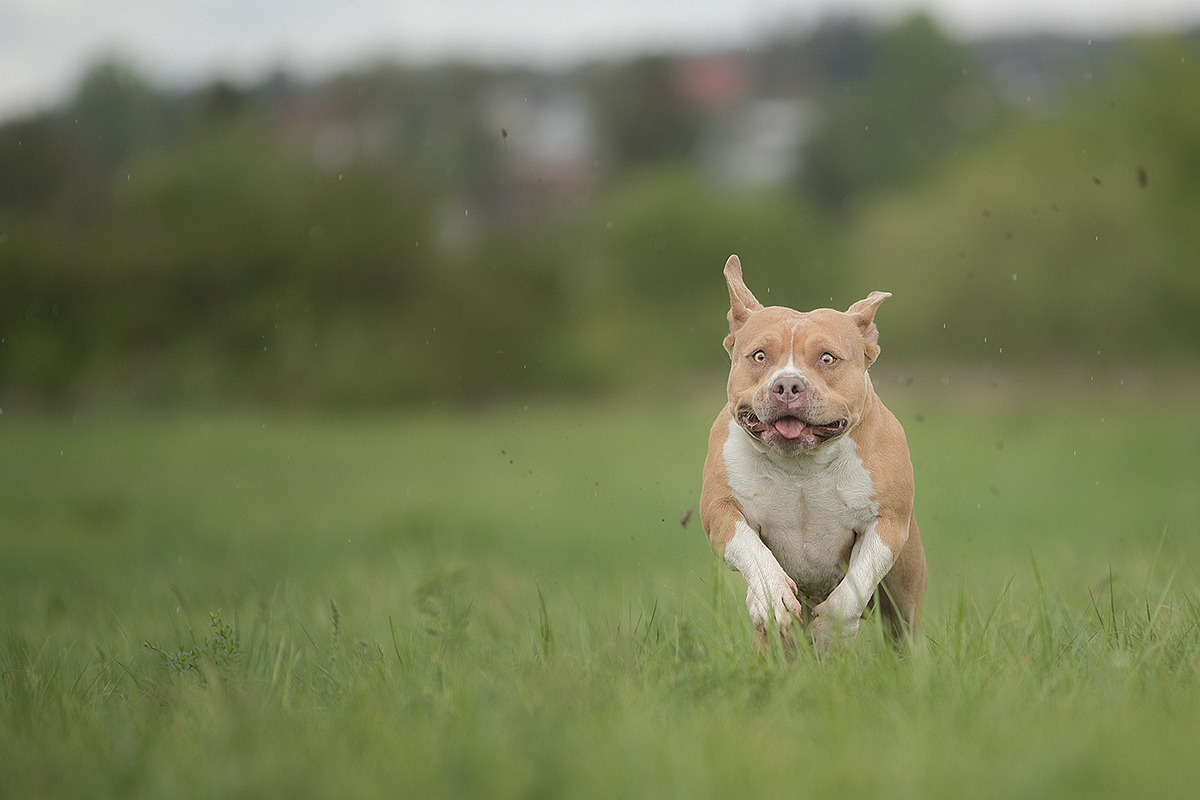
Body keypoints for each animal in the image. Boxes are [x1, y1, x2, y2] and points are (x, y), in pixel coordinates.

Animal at [700, 256, 921, 652]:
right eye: (759, 355)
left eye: (827, 358)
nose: (788, 385)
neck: (801, 465)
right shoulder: (719, 509)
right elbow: (752, 551)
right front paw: (768, 596)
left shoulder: (888, 524)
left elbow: (857, 582)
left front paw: (832, 628)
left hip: (903, 596)